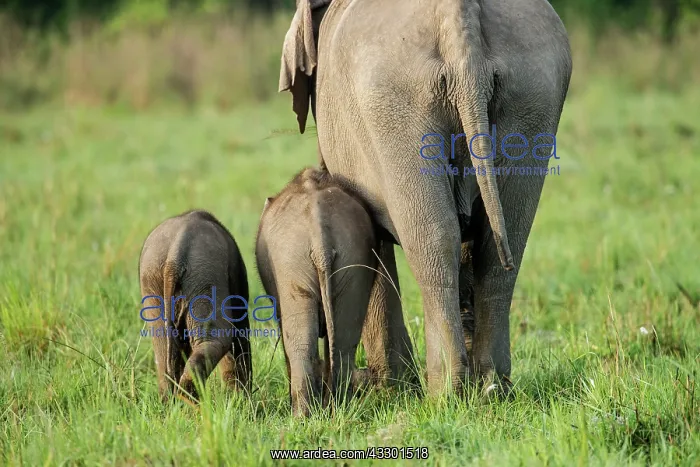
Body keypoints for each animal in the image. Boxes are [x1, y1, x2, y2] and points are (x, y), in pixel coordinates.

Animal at [255, 167, 377, 416]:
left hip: (291, 262)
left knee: (300, 341)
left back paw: (301, 416)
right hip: (353, 257)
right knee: (344, 340)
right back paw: (337, 408)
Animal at [278, 0, 572, 395]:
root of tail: (458, 19)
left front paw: (387, 388)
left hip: (394, 107)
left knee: (432, 239)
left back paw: (444, 391)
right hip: (534, 96)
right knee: (502, 238)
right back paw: (490, 386)